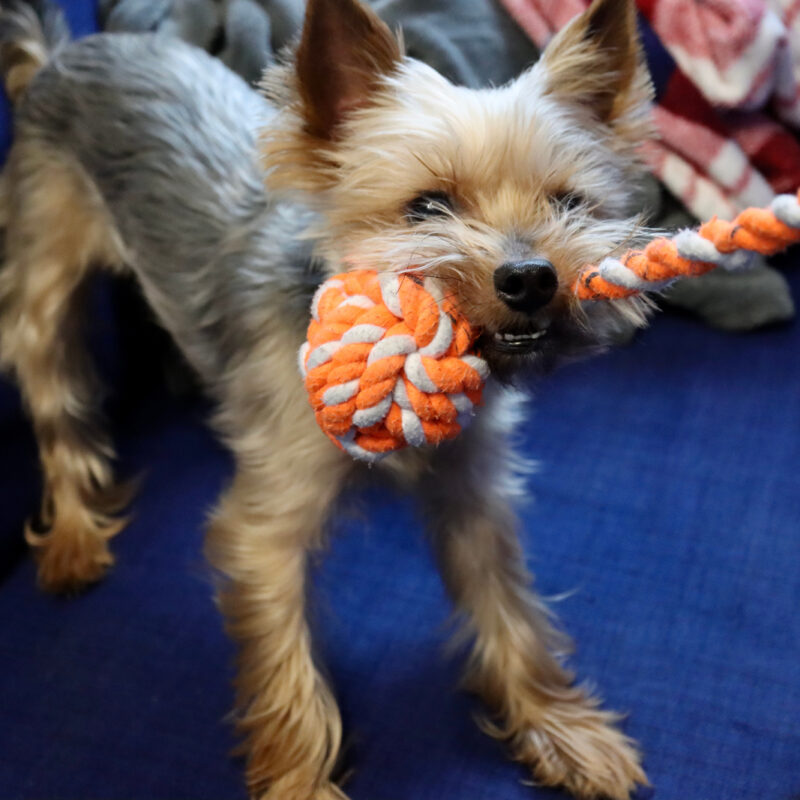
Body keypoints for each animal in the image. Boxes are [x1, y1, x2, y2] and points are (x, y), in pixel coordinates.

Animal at [1, 0, 656, 796]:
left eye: (568, 202)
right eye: (426, 207)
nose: (531, 277)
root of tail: (61, 56)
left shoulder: (471, 492)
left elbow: (509, 607)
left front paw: (559, 727)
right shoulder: (266, 535)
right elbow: (288, 675)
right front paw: (300, 780)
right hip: (43, 270)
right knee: (56, 401)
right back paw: (72, 537)